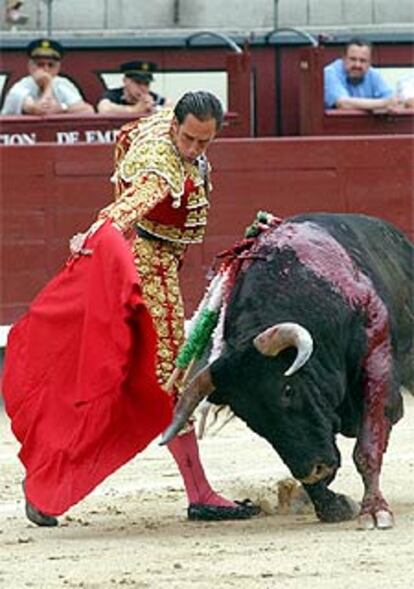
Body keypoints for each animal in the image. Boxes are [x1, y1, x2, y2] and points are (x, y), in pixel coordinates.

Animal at [162, 211, 414, 528]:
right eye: (249, 418)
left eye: (288, 390)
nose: (313, 469)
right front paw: (332, 506)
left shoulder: (376, 356)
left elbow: (368, 445)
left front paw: (374, 511)